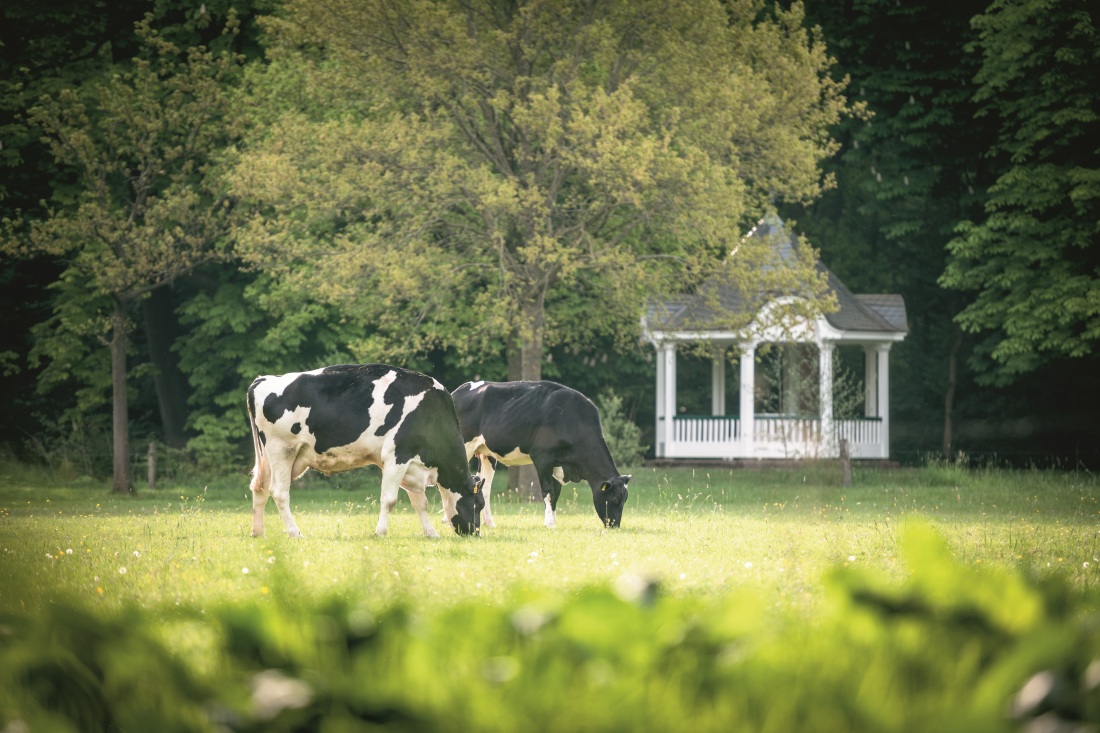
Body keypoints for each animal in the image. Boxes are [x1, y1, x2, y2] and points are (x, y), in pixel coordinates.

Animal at [247, 360, 484, 537]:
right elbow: (389, 499)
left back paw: (258, 533)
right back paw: (295, 533)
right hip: (282, 449)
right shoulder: (397, 455)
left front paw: (431, 533)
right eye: (479, 504)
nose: (475, 533)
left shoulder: (412, 464)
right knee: (279, 493)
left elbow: (420, 503)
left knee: (260, 488)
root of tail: (263, 379)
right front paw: (380, 532)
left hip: (272, 456)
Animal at [451, 378, 633, 528]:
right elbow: (548, 491)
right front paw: (550, 523)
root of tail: (460, 389)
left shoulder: (558, 464)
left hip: (486, 453)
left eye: (625, 500)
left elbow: (556, 494)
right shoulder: (542, 457)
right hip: (465, 446)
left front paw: (553, 519)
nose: (615, 525)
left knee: (485, 486)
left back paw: (489, 523)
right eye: (615, 499)